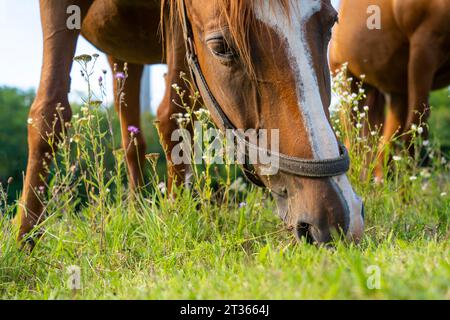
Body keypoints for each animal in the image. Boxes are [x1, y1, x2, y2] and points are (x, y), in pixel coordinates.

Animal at [16, 0, 366, 245]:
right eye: (220, 47)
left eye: (331, 24)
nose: (336, 217)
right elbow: (49, 112)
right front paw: (25, 241)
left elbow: (172, 113)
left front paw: (177, 212)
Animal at [330, 0, 450, 178]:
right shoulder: (425, 43)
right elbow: (415, 132)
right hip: (346, 79)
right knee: (355, 143)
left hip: (394, 91)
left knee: (379, 148)